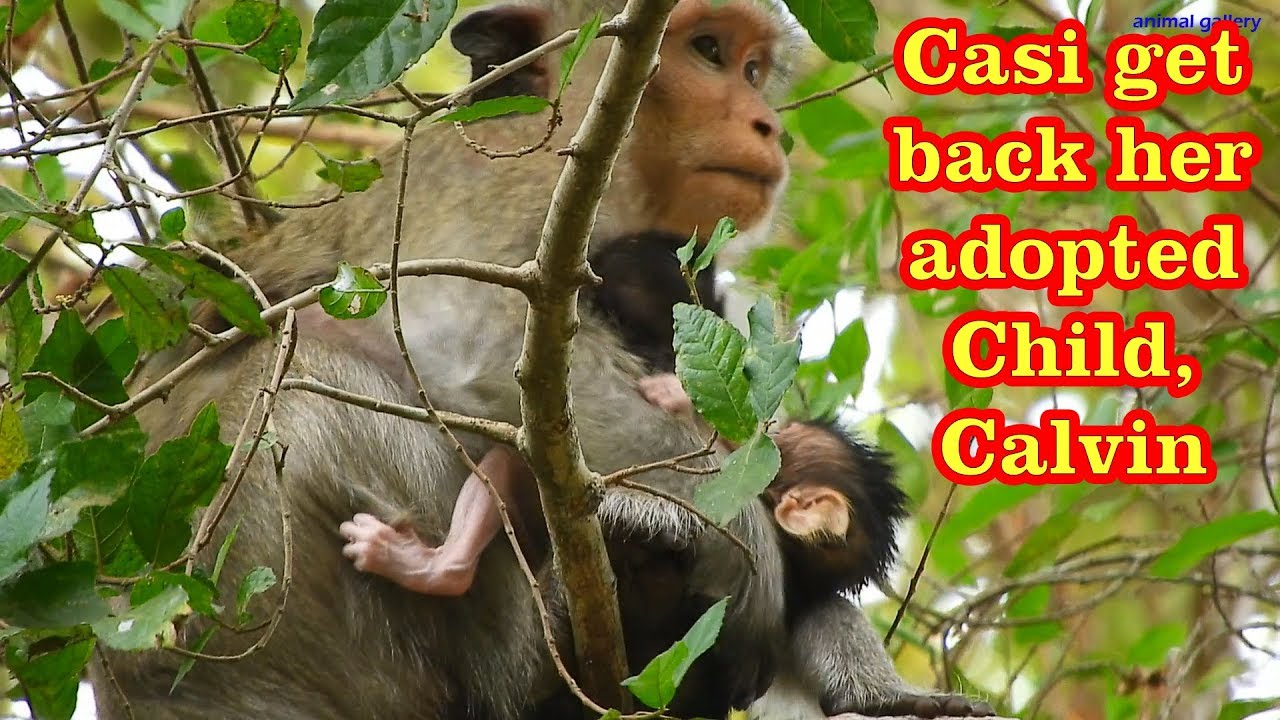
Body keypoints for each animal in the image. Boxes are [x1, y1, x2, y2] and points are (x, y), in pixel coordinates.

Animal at [94, 2, 994, 719]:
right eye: (706, 51)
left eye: (751, 70)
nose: (769, 126)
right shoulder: (524, 175)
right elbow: (470, 345)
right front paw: (742, 543)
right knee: (302, 376)